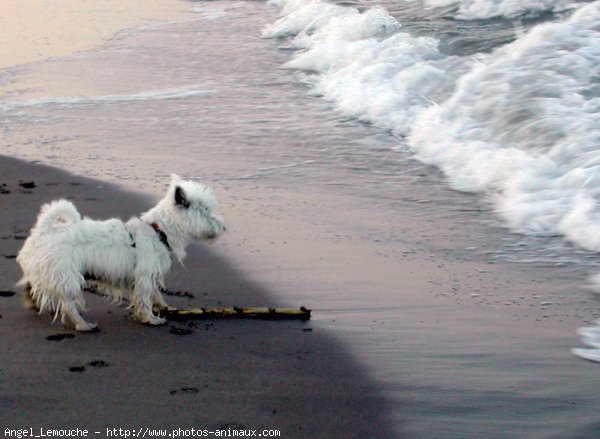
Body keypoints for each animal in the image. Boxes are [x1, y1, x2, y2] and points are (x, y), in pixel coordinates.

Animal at [17, 174, 227, 332]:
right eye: (206, 211)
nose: (224, 227)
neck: (159, 231)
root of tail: (44, 230)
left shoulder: (147, 276)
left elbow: (155, 293)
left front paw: (164, 307)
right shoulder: (144, 276)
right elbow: (144, 297)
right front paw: (151, 318)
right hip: (67, 275)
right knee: (68, 304)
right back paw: (83, 325)